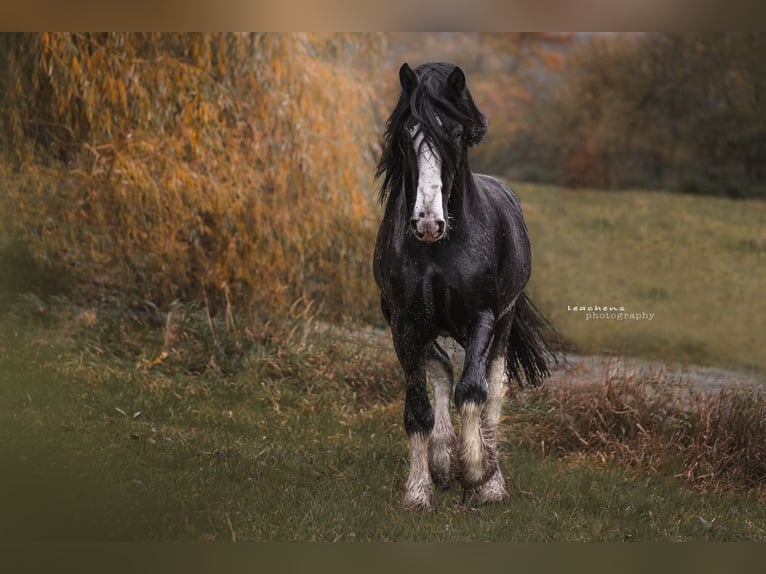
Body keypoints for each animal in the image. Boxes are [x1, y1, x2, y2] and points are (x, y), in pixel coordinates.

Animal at [373, 62, 555, 511]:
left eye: (454, 133)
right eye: (408, 134)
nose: (427, 222)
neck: (438, 249)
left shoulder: (481, 317)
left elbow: (474, 390)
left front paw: (479, 473)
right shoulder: (404, 323)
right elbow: (417, 409)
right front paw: (419, 491)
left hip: (504, 321)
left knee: (493, 388)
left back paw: (491, 479)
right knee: (440, 365)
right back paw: (441, 458)